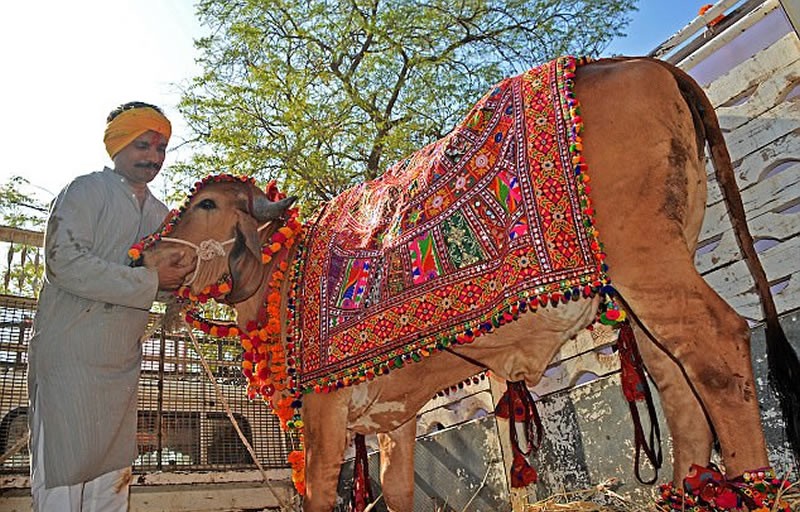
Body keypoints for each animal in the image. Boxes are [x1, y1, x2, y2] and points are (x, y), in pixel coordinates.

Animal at [134, 57, 796, 512]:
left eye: (208, 203)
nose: (150, 252)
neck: (283, 274)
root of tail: (639, 62)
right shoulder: (393, 419)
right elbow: (398, 491)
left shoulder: (322, 415)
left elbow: (319, 492)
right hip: (649, 286)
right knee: (677, 382)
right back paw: (690, 487)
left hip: (650, 266)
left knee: (721, 349)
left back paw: (748, 486)